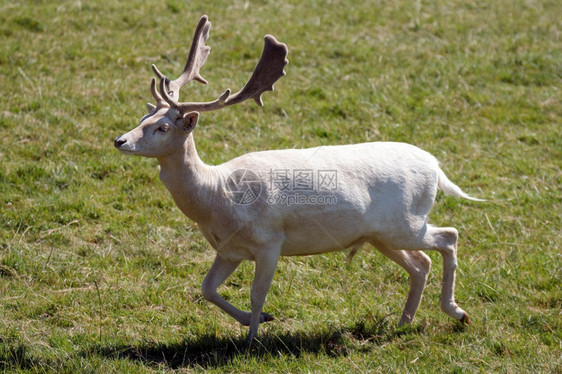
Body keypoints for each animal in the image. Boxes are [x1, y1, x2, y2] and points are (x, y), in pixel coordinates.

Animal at [115, 14, 482, 342]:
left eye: (163, 127)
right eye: (144, 117)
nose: (119, 141)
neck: (218, 198)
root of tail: (436, 167)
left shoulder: (269, 241)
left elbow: (256, 293)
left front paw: (252, 340)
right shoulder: (230, 249)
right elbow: (207, 289)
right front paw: (259, 320)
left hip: (405, 223)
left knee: (449, 236)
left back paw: (457, 312)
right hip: (382, 234)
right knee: (420, 263)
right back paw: (404, 323)